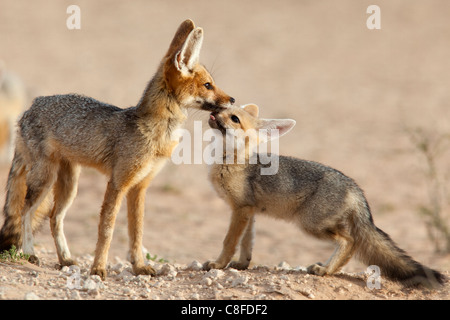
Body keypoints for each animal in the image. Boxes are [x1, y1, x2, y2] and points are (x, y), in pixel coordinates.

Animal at [0, 20, 236, 280]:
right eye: (208, 85)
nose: (233, 100)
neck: (155, 133)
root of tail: (31, 106)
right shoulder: (118, 184)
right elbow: (107, 229)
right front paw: (98, 268)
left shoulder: (139, 187)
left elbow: (137, 232)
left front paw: (139, 266)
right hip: (44, 180)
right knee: (25, 211)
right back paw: (29, 253)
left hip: (70, 186)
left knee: (54, 218)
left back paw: (65, 259)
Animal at [205, 103, 446, 288]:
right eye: (223, 109)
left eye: (234, 118)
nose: (215, 110)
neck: (229, 161)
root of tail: (353, 186)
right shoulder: (250, 210)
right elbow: (247, 242)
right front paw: (242, 264)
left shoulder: (241, 209)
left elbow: (229, 241)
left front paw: (218, 264)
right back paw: (329, 268)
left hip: (310, 224)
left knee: (350, 241)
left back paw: (325, 270)